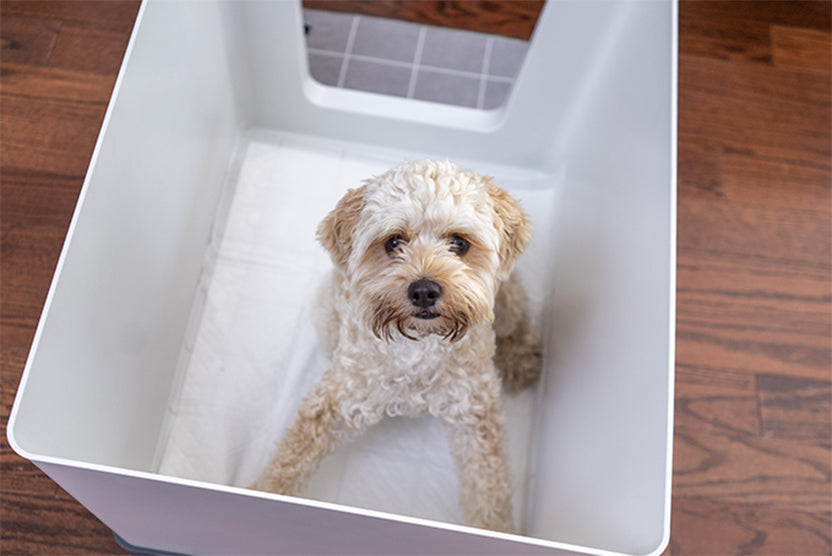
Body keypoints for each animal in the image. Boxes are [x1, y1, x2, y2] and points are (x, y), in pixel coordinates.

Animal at [250, 159, 544, 532]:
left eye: (459, 243)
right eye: (393, 242)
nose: (424, 290)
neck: (419, 343)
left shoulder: (475, 416)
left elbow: (488, 492)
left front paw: (496, 532)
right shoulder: (336, 401)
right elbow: (290, 457)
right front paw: (260, 494)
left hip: (507, 300)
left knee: (515, 322)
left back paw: (522, 358)